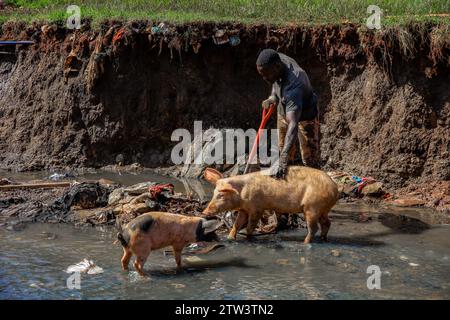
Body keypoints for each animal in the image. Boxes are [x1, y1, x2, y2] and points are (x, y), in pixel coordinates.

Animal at [203, 166, 338, 244]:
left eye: (221, 195)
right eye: (213, 193)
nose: (204, 212)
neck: (241, 193)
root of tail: (335, 188)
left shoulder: (257, 208)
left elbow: (250, 226)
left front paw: (248, 239)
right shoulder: (244, 209)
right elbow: (237, 224)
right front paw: (230, 239)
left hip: (312, 208)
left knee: (314, 228)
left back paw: (304, 242)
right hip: (322, 209)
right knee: (327, 223)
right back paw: (323, 239)